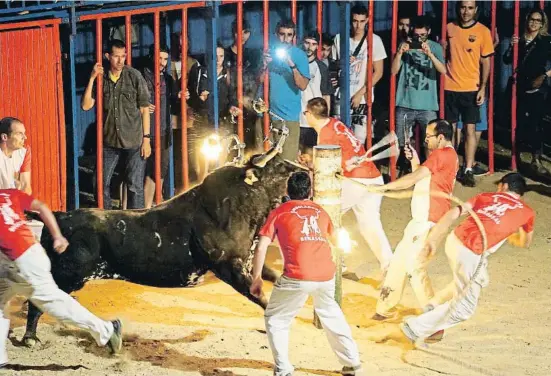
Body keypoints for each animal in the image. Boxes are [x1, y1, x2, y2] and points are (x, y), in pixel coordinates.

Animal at [22, 148, 306, 346]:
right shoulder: (230, 266)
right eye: (280, 166)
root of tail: (59, 215)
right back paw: (30, 338)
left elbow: (274, 278)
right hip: (67, 275)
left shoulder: (248, 263)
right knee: (38, 302)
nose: (306, 172)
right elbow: (262, 298)